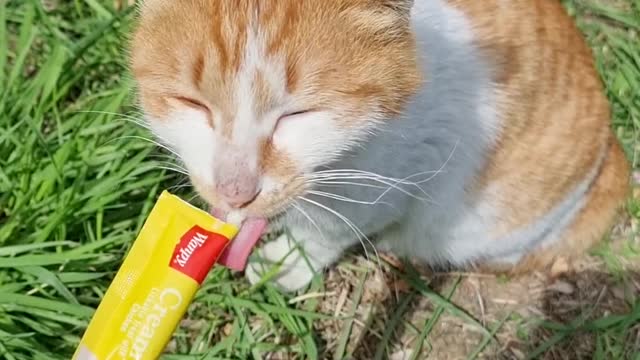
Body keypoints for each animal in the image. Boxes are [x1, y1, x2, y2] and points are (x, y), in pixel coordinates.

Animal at [131, 0, 632, 292]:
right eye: (194, 104)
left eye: (299, 115)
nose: (235, 190)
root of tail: (612, 153)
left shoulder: (395, 181)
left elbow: (329, 231)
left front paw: (287, 264)